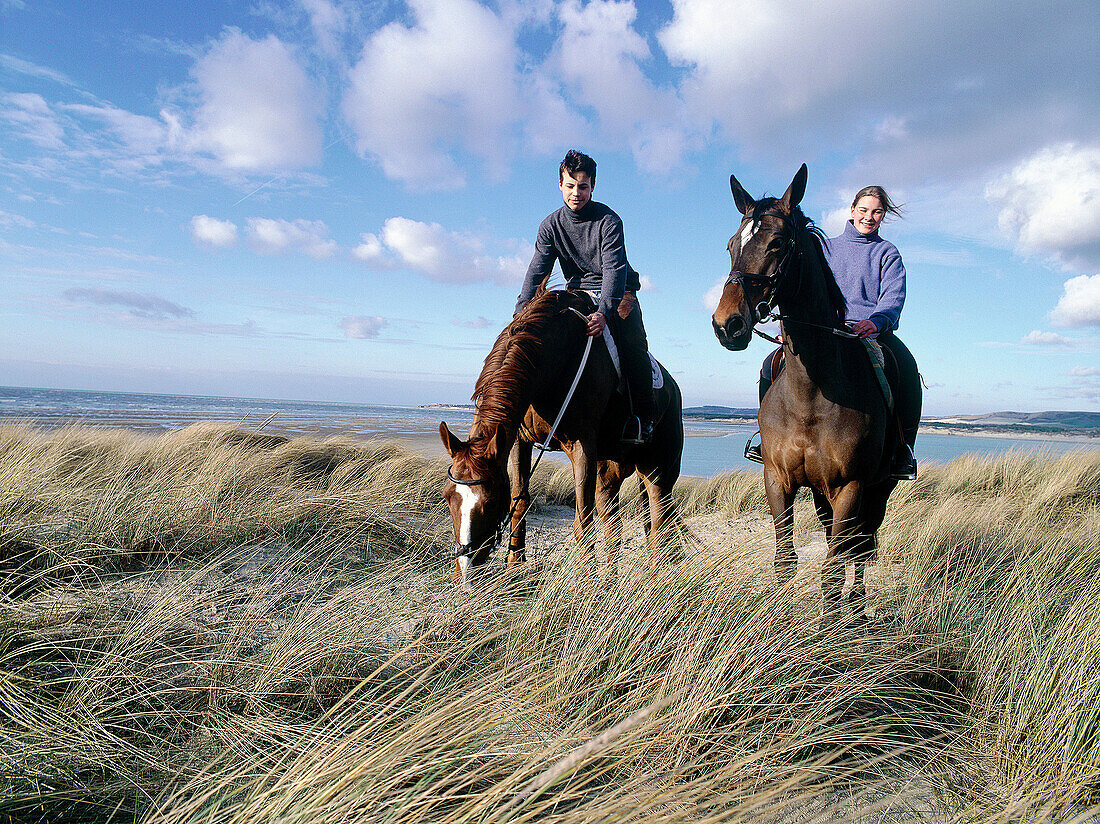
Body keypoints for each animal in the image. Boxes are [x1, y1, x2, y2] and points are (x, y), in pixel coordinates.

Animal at [437, 286, 677, 589]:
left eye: (490, 502)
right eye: (447, 497)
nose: (464, 577)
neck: (554, 359)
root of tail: (673, 387)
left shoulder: (582, 445)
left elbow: (582, 520)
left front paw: (586, 582)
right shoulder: (518, 440)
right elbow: (520, 500)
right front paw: (514, 566)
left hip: (658, 472)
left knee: (658, 522)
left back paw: (655, 579)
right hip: (609, 473)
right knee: (614, 524)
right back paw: (611, 581)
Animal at [708, 163, 897, 620]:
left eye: (777, 243)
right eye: (730, 245)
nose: (727, 325)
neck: (811, 393)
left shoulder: (852, 486)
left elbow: (833, 567)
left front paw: (830, 631)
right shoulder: (777, 478)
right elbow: (785, 559)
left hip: (877, 488)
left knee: (858, 546)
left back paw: (857, 608)